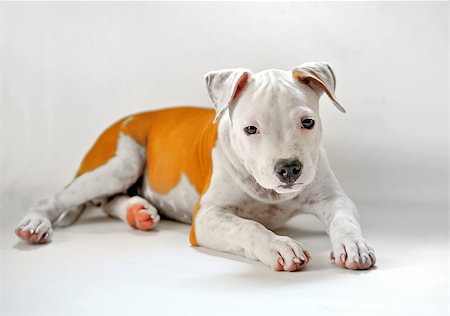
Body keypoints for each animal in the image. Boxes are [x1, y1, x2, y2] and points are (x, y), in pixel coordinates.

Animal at [14, 62, 376, 272]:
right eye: (251, 129)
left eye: (307, 122)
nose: (289, 168)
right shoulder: (207, 218)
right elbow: (249, 227)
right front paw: (278, 244)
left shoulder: (333, 198)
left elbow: (344, 219)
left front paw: (353, 245)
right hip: (120, 162)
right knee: (57, 198)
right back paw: (35, 225)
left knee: (109, 201)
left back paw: (138, 212)